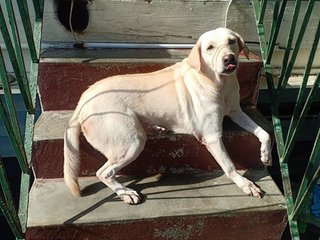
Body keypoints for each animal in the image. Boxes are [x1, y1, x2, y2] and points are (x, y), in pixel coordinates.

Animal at [63, 27, 272, 204]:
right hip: (132, 141)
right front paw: (245, 184)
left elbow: (265, 133)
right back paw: (125, 192)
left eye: (232, 41)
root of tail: (83, 100)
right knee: (103, 172)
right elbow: (229, 165)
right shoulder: (212, 136)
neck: (220, 85)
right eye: (210, 48)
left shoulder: (236, 112)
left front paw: (265, 155)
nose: (229, 59)